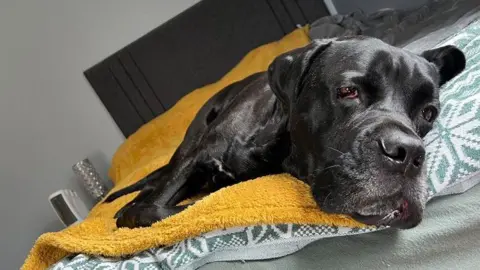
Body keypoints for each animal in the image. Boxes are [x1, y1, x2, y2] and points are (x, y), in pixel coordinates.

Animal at [104, 36, 464, 230]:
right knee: (155, 184)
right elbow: (159, 208)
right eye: (348, 91)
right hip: (189, 144)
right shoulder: (197, 158)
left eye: (428, 113)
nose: (408, 152)